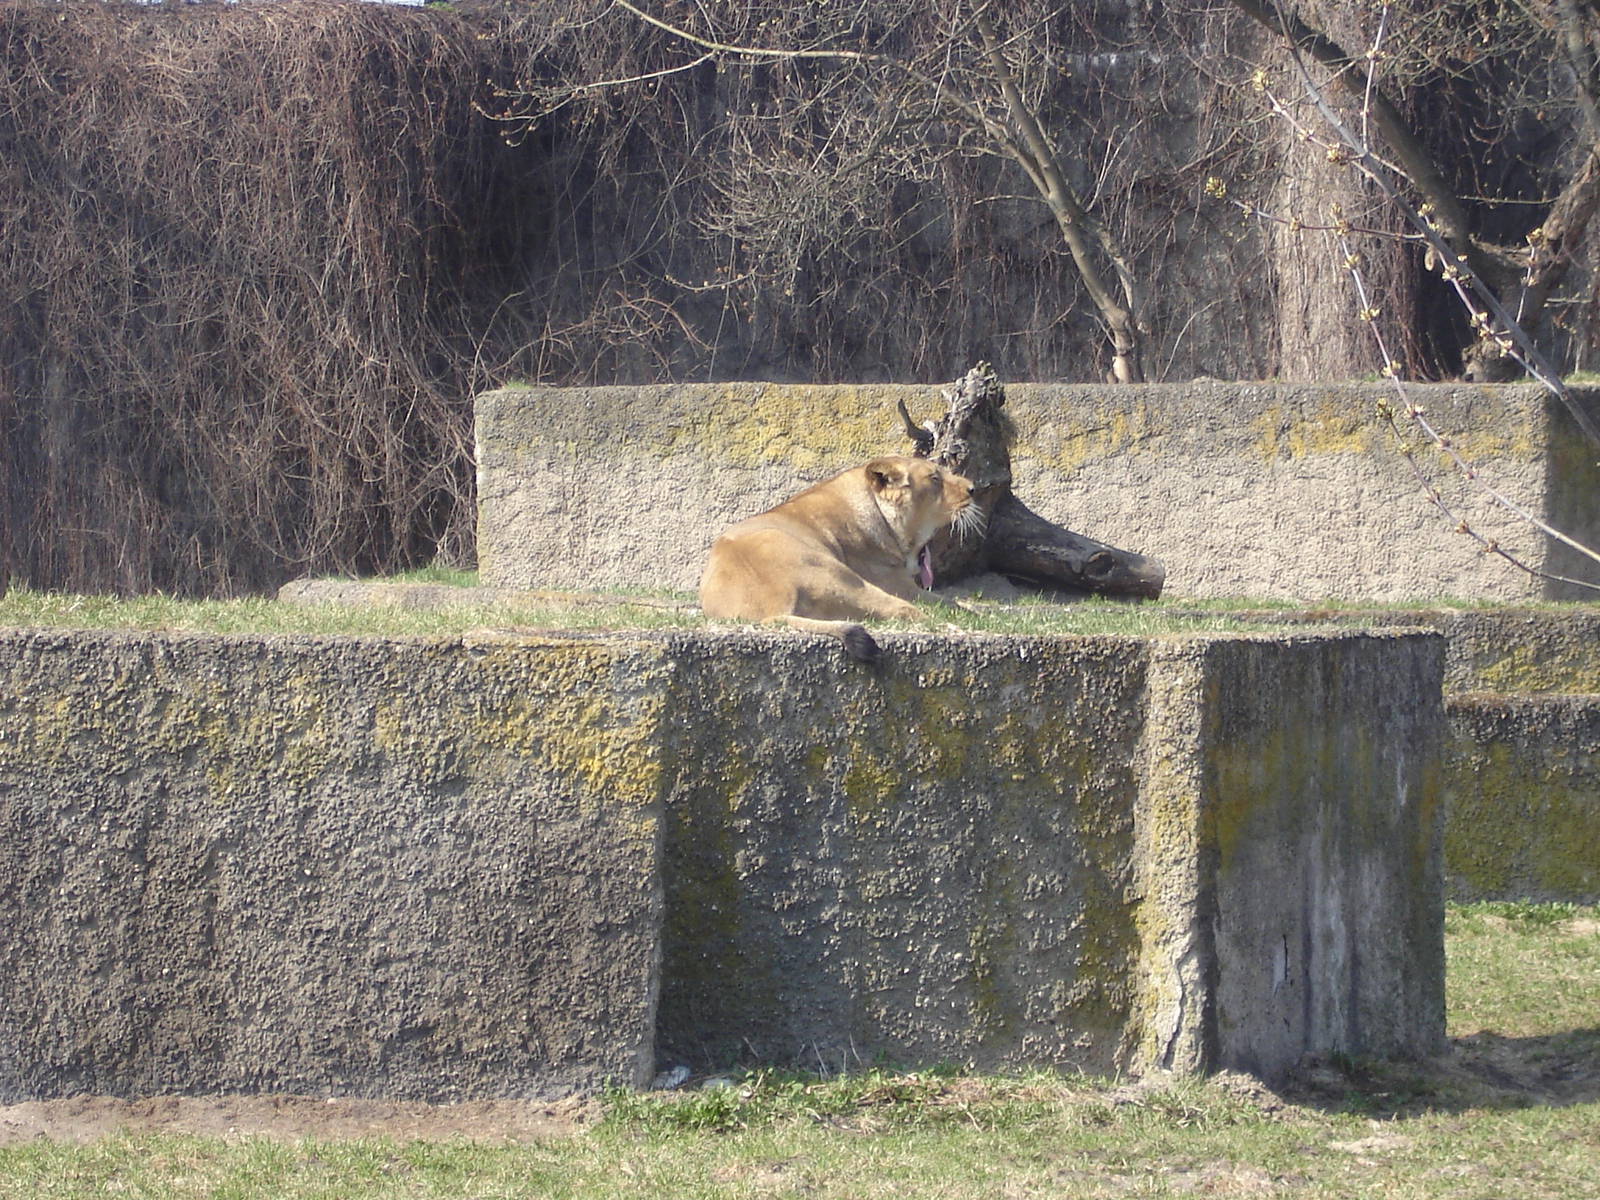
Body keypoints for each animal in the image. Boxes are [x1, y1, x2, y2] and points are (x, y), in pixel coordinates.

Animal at [698, 455, 981, 662]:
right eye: (935, 478)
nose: (973, 489)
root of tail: (773, 605)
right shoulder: (896, 583)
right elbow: (948, 601)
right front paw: (972, 609)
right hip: (846, 580)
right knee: (911, 612)